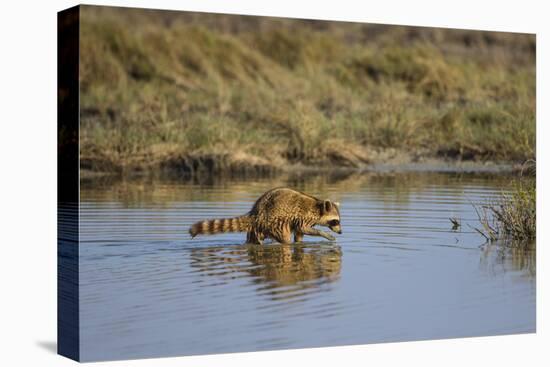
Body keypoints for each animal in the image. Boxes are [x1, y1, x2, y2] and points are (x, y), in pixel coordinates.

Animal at [192, 188, 342, 246]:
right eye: (335, 221)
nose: (341, 232)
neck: (317, 207)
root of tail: (256, 212)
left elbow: (299, 233)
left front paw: (299, 243)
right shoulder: (303, 217)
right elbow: (304, 229)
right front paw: (325, 234)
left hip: (258, 228)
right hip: (274, 221)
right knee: (284, 237)